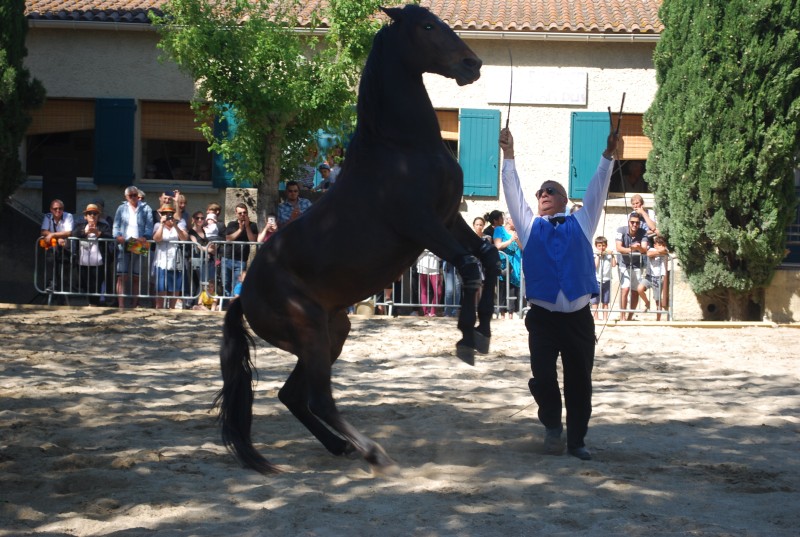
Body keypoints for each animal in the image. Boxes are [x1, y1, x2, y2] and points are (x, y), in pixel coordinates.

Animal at [216, 5, 496, 474]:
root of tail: (243, 294)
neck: (401, 148)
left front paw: (482, 332)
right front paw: (465, 339)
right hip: (311, 333)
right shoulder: (423, 225)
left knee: (293, 396)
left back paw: (341, 448)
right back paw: (371, 451)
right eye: (427, 26)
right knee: (318, 398)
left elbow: (488, 260)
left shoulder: (449, 220)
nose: (471, 64)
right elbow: (469, 267)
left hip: (333, 331)